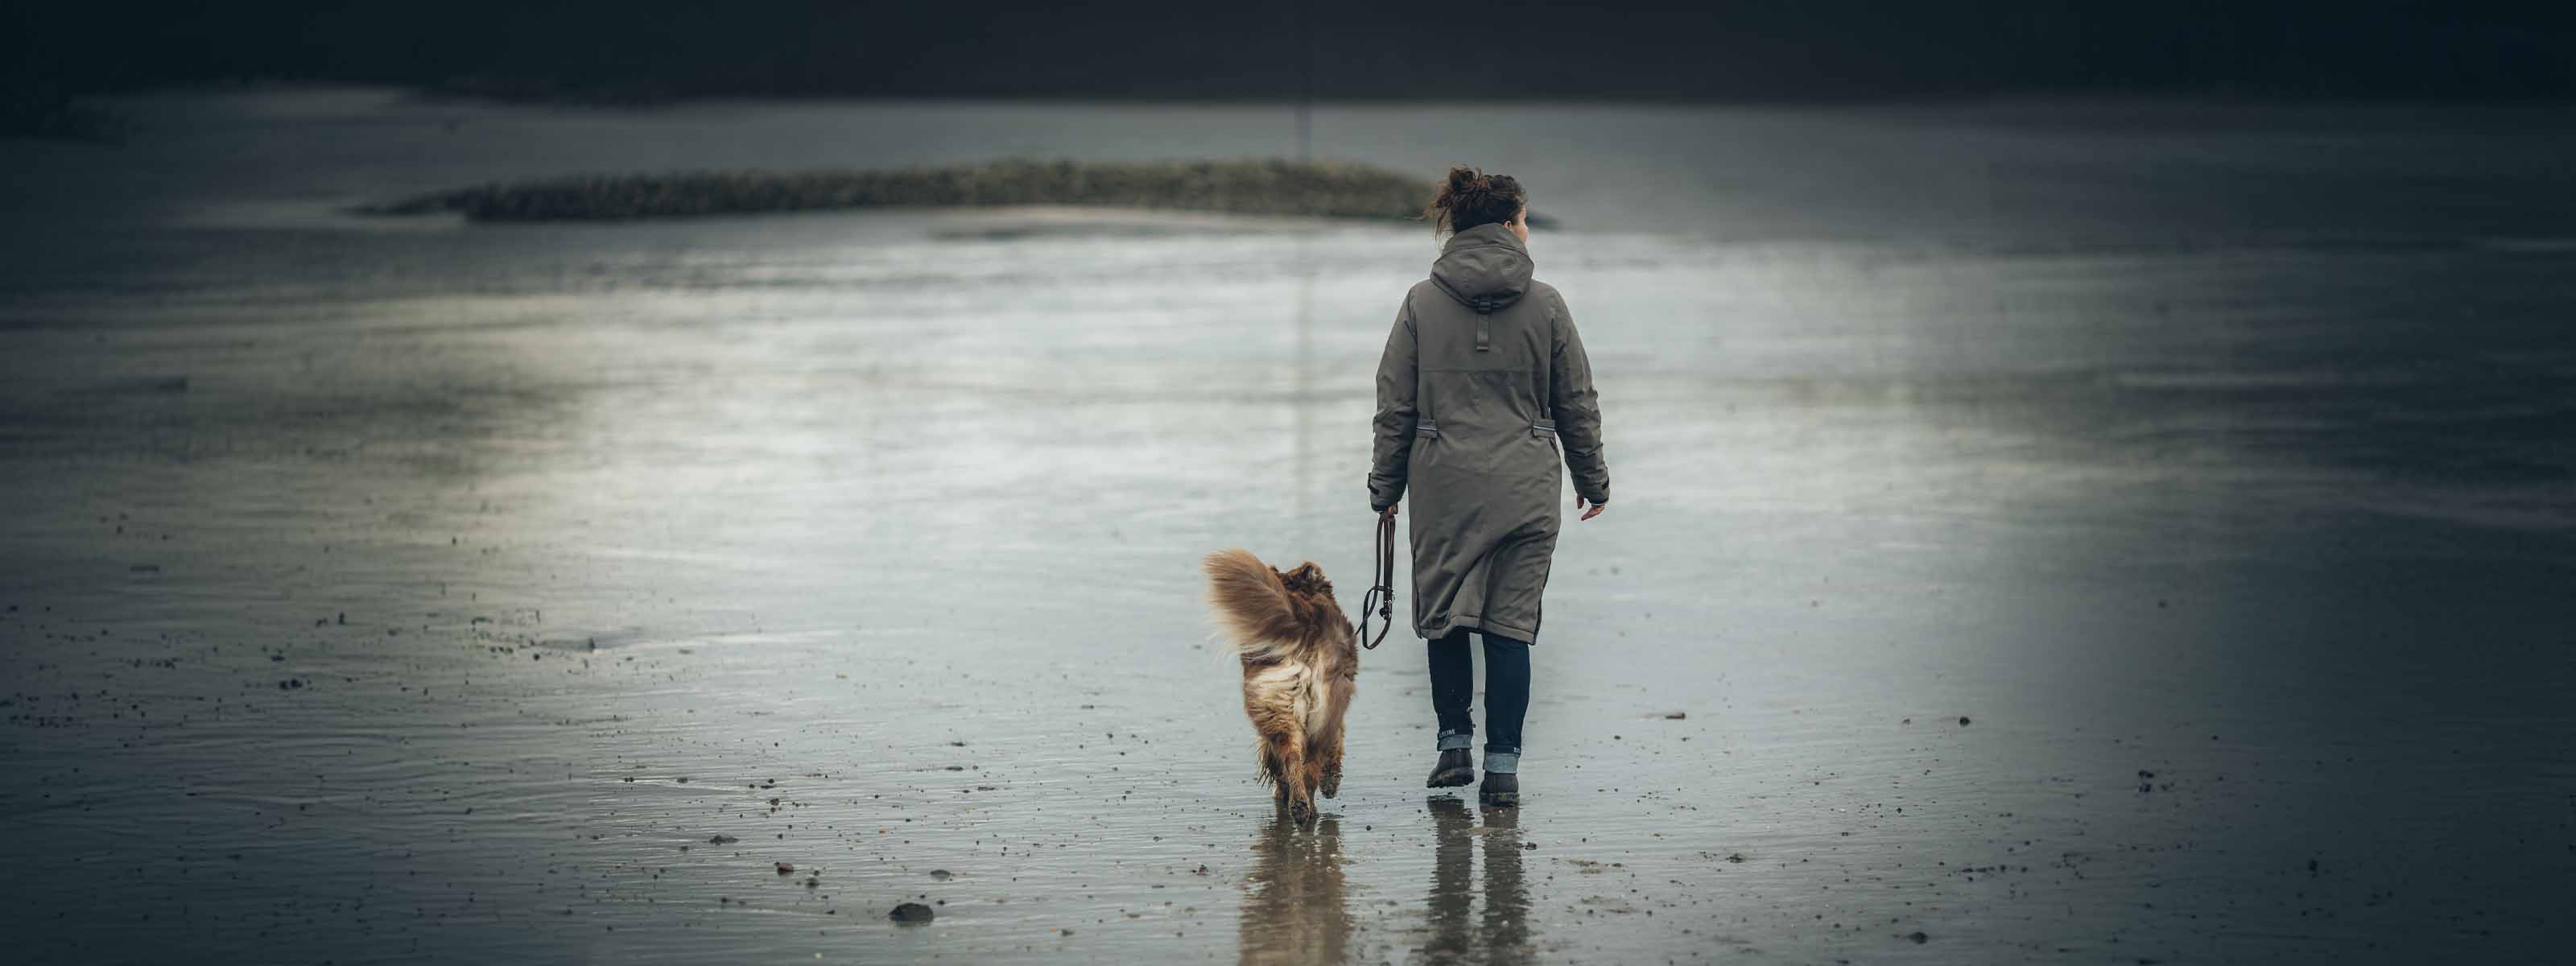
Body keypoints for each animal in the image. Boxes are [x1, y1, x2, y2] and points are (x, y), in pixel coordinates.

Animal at [1205, 548, 1370, 829]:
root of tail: (1303, 620)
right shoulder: (1338, 709)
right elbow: (1338, 743)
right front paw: (1331, 782)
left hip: (1277, 704)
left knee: (1292, 755)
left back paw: (1299, 805)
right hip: (1320, 710)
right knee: (1310, 764)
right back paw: (1307, 806)